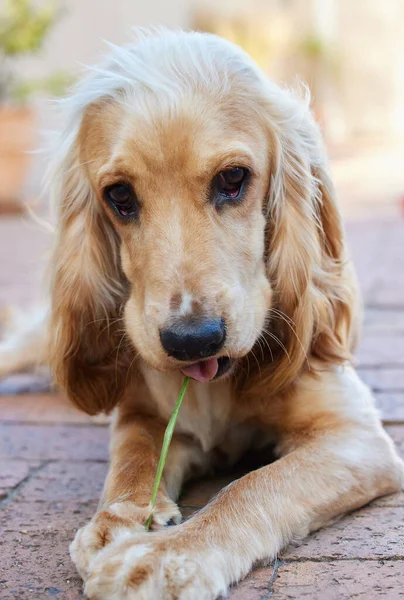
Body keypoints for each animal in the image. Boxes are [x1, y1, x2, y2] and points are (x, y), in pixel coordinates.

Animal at [1, 28, 402, 600]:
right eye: (119, 195)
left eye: (233, 178)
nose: (193, 340)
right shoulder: (143, 413)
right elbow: (134, 458)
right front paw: (118, 519)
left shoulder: (354, 436)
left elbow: (253, 486)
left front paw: (161, 557)